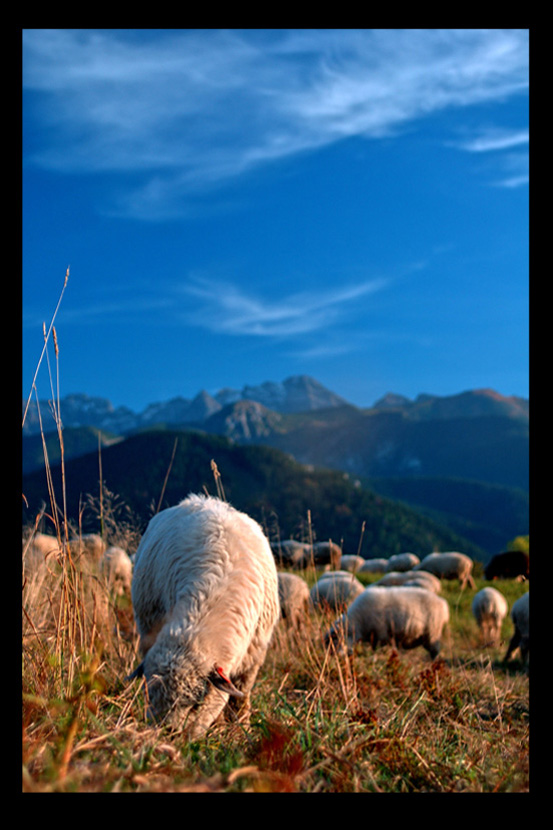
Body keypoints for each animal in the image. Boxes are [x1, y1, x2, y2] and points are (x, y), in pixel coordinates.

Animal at [129, 490, 280, 736]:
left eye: (196, 703)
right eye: (149, 695)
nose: (168, 733)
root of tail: (198, 499)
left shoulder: (253, 657)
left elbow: (240, 698)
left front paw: (241, 729)